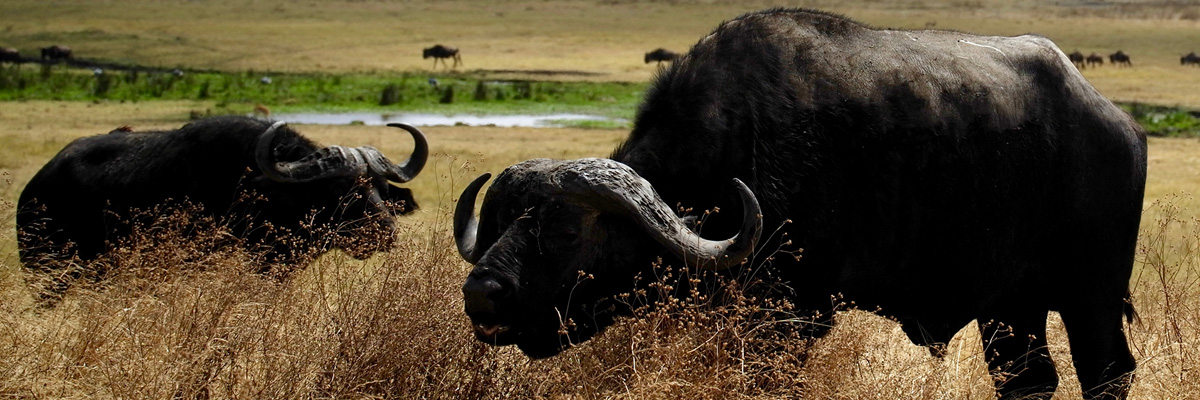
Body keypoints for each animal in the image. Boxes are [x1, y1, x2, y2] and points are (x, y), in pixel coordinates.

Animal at [453, 8, 1147, 398]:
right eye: (499, 225)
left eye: (565, 232)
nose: (482, 292)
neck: (736, 148)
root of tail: (1120, 125)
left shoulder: (792, 318)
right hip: (1011, 309)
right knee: (1029, 382)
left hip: (1091, 297)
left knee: (1106, 373)